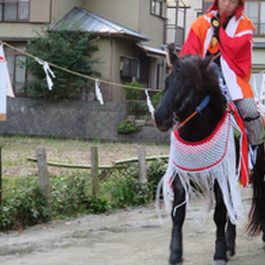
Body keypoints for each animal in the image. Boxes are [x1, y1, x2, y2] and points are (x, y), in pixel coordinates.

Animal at [154, 52, 262, 264]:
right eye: (166, 81)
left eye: (187, 85)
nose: (160, 117)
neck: (197, 133)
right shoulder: (181, 176)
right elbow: (178, 214)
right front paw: (175, 253)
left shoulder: (220, 177)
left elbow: (219, 216)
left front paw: (219, 253)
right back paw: (231, 245)